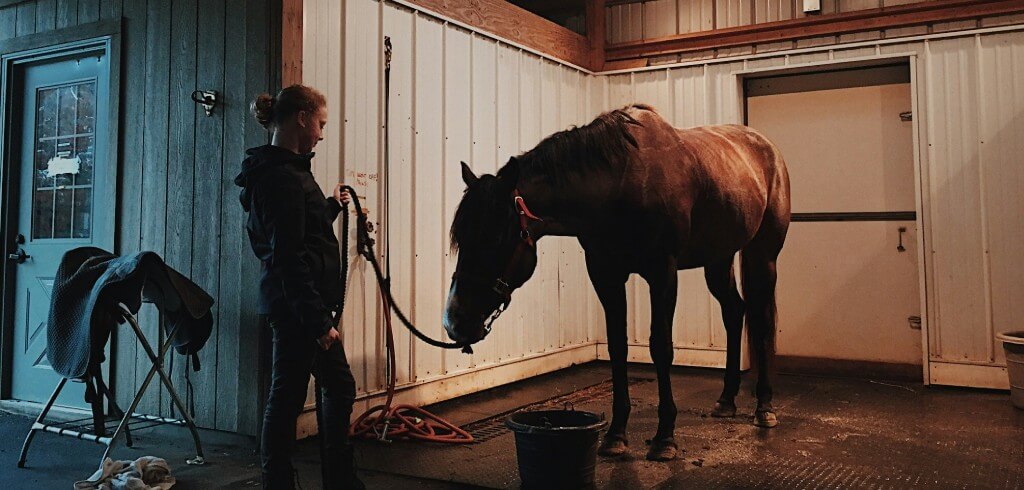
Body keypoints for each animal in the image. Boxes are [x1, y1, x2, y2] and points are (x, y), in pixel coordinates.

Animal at [443, 104, 790, 461]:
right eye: (461, 238)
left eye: (496, 238)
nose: (454, 321)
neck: (621, 184)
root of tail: (767, 149)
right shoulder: (605, 274)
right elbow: (617, 346)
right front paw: (615, 435)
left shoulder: (662, 272)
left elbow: (660, 346)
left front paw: (665, 437)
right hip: (718, 260)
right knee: (734, 313)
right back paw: (726, 400)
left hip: (762, 256)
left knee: (762, 321)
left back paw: (764, 407)